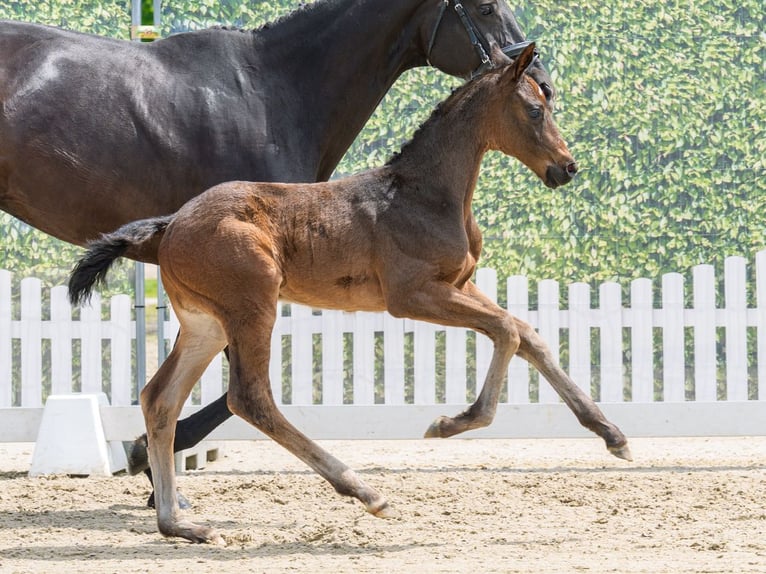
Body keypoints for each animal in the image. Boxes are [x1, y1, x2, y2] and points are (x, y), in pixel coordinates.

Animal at [0, 0, 553, 504]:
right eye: (485, 7)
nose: (543, 79)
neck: (271, 92)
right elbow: (235, 392)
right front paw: (152, 470)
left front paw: (156, 472)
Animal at [69, 44, 631, 545]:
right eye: (536, 108)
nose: (567, 167)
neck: (425, 194)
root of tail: (169, 225)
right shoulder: (412, 294)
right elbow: (509, 332)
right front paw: (453, 423)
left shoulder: (459, 284)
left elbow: (528, 334)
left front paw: (612, 435)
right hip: (252, 307)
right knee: (249, 398)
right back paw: (365, 491)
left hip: (205, 324)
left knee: (160, 399)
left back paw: (180, 524)